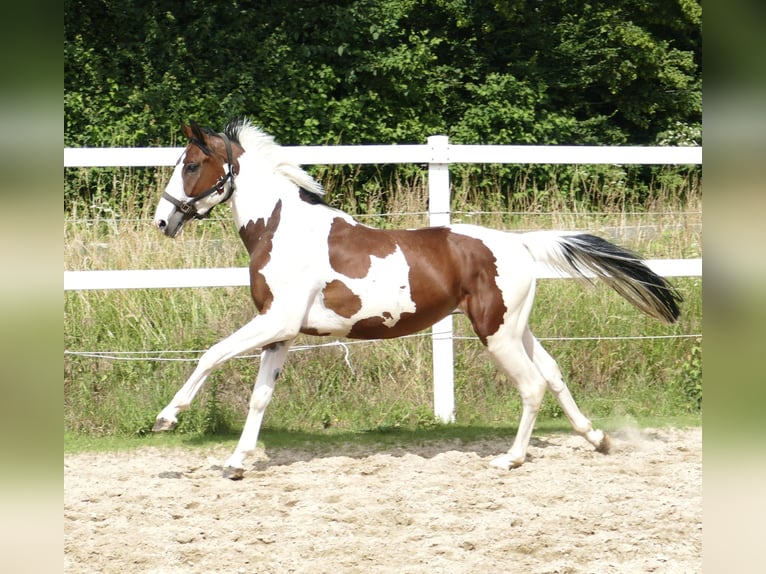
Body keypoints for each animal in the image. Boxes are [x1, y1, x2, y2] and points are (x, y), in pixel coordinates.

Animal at [152, 118, 684, 482]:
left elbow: (210, 355)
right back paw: (597, 439)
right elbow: (260, 396)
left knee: (532, 385)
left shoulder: (274, 321)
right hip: (515, 328)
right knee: (553, 373)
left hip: (495, 334)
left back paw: (509, 459)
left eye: (192, 165)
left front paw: (166, 418)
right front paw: (237, 462)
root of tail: (520, 243)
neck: (282, 230)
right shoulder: (281, 332)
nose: (163, 220)